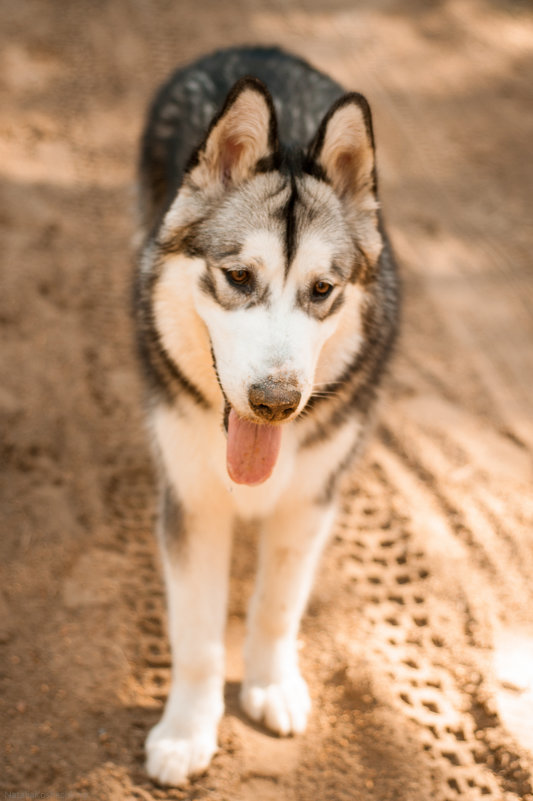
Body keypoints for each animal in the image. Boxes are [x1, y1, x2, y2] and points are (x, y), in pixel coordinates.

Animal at [134, 47, 400, 784]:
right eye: (238, 278)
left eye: (322, 289)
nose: (276, 402)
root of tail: (258, 50)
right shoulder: (193, 502)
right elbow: (197, 637)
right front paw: (186, 731)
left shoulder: (310, 499)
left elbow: (278, 606)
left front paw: (270, 684)